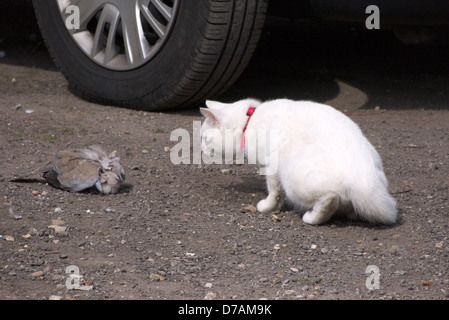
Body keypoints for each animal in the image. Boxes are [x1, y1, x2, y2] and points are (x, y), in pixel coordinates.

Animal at [200, 98, 396, 225]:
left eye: (204, 138)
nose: (200, 150)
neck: (248, 120)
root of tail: (363, 179)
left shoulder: (272, 167)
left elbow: (274, 191)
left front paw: (267, 206)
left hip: (292, 175)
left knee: (330, 198)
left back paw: (311, 218)